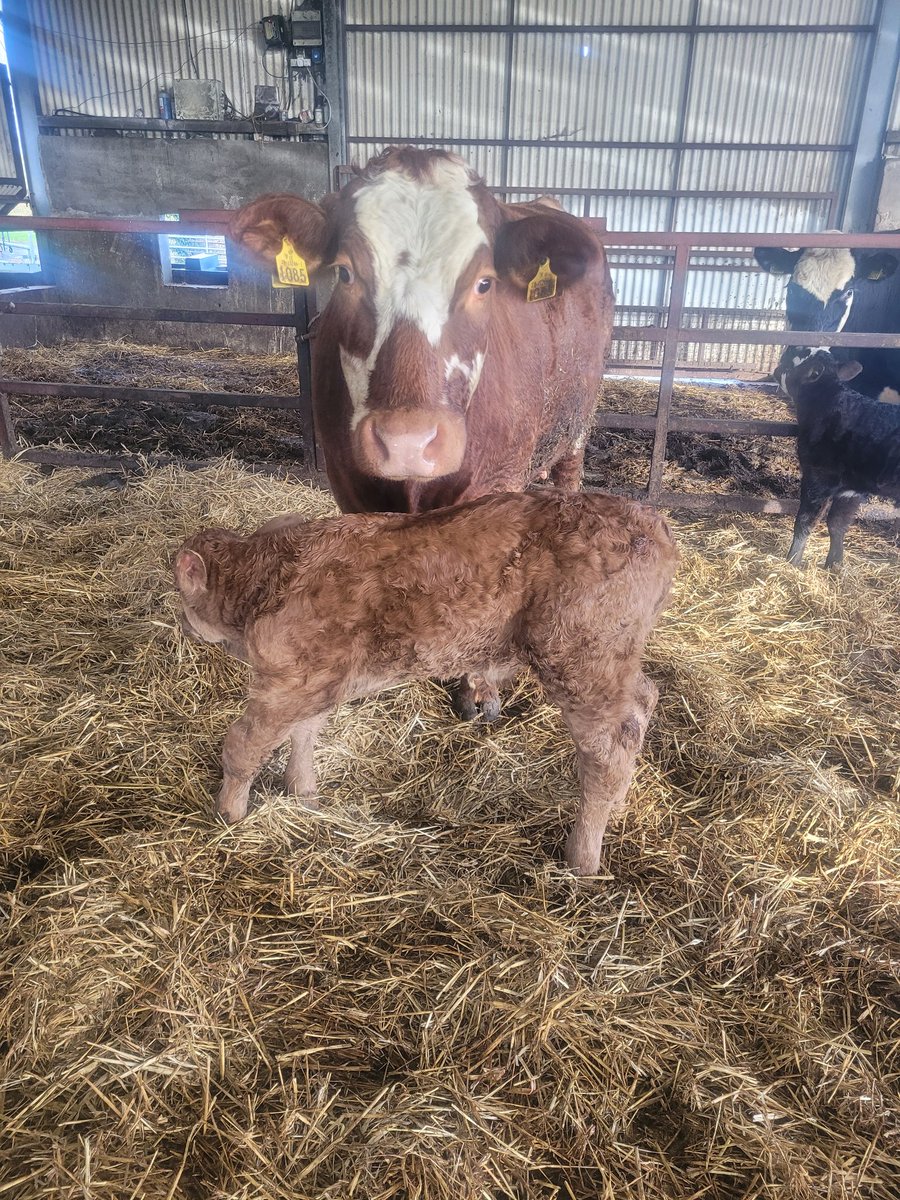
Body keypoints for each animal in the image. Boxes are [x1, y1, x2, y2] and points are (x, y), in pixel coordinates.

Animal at [174, 492, 676, 878]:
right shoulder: (319, 677)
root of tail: (650, 521)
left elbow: (243, 745)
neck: (269, 581)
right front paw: (303, 791)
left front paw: (228, 813)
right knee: (643, 701)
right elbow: (306, 732)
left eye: (181, 594)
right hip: (616, 661)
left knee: (609, 749)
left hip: (581, 660)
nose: (183, 625)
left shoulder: (287, 683)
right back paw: (619, 802)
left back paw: (581, 858)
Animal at [229, 145, 619, 511]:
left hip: (577, 425)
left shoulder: (497, 480)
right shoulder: (347, 484)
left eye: (485, 283)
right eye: (344, 273)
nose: (407, 442)